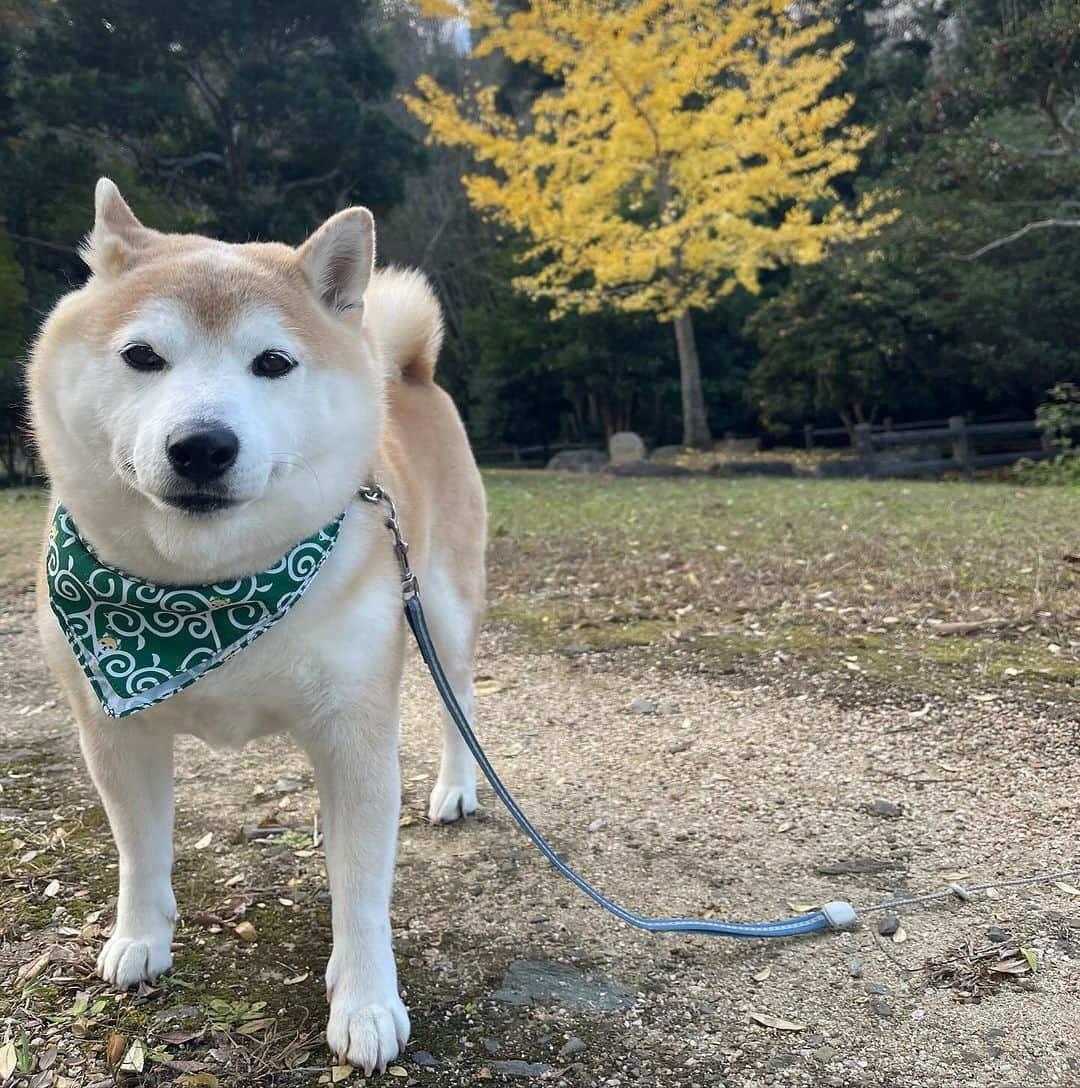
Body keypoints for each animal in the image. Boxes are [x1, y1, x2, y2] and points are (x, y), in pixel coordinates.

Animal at [28, 178, 485, 1070]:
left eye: (272, 363)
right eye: (143, 356)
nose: (203, 445)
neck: (202, 598)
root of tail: (409, 373)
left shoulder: (355, 726)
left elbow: (364, 892)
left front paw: (366, 1002)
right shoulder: (114, 731)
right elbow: (140, 849)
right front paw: (140, 939)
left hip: (439, 611)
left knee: (459, 706)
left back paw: (454, 787)